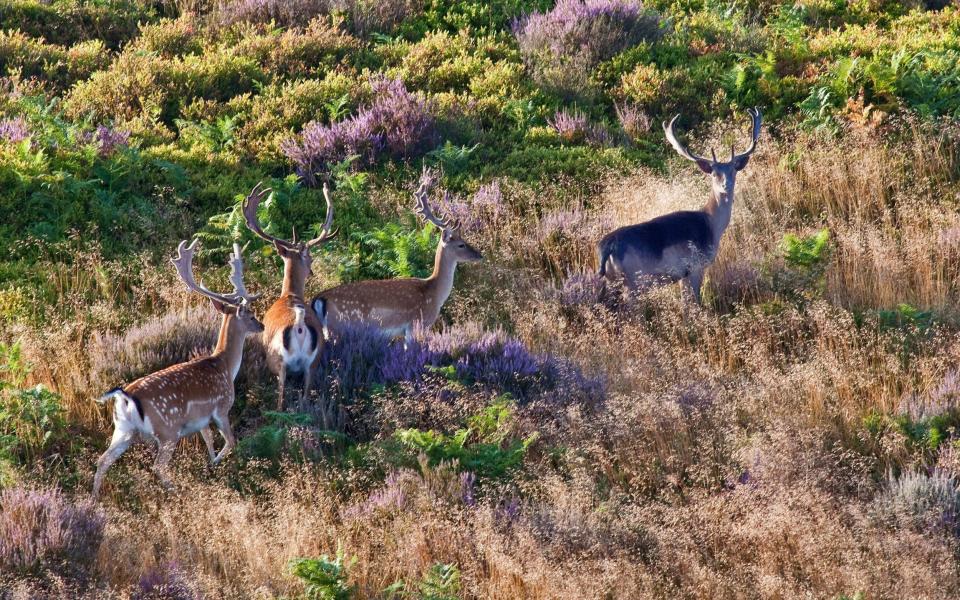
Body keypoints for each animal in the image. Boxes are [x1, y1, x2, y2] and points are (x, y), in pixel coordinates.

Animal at [92, 239, 262, 496]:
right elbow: (231, 442)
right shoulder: (221, 407)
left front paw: (210, 463)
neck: (224, 365)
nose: (262, 325)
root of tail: (124, 396)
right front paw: (215, 464)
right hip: (168, 429)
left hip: (122, 430)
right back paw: (176, 491)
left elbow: (208, 440)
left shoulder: (201, 420)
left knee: (103, 460)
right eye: (251, 315)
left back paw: (94, 498)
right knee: (158, 466)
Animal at [244, 180, 338, 410]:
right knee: (304, 399)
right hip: (312, 364)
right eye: (310, 258)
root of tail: (300, 323)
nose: (311, 270)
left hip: (278, 361)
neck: (289, 295)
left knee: (280, 400)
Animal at [312, 169, 484, 342]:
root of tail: (319, 300)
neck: (434, 294)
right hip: (339, 329)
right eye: (461, 244)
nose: (479, 255)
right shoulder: (415, 325)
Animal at [596, 107, 760, 302]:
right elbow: (696, 301)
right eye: (714, 174)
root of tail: (606, 247)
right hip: (633, 281)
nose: (725, 186)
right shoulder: (695, 266)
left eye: (733, 171)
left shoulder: (683, 274)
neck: (712, 225)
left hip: (612, 282)